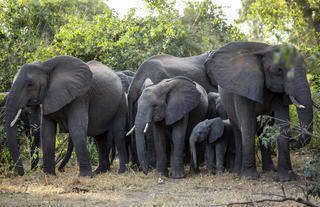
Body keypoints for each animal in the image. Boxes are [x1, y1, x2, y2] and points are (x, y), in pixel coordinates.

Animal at [205, 41, 312, 181]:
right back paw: (237, 171)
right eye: (279, 70)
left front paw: (286, 178)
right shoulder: (243, 87)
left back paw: (269, 169)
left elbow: (282, 125)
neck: (265, 50)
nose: (293, 141)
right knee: (238, 130)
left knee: (263, 130)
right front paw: (249, 177)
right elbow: (248, 125)